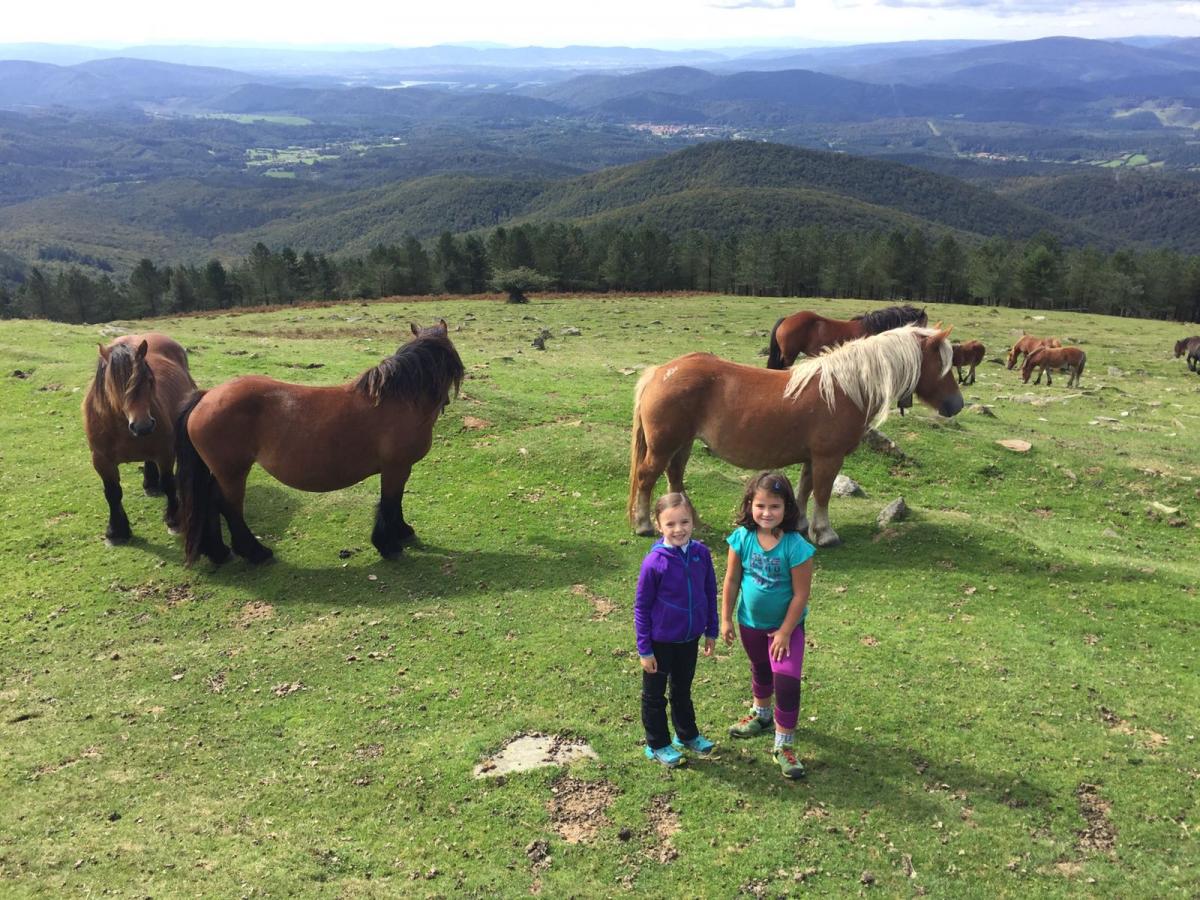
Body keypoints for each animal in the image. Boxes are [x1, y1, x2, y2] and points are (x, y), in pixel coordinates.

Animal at [81, 331, 196, 542]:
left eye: (150, 380)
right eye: (114, 385)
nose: (143, 426)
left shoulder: (165, 452)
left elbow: (168, 483)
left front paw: (174, 520)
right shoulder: (101, 461)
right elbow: (112, 493)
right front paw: (116, 531)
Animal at [174, 321, 463, 564]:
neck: (399, 399)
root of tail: (206, 396)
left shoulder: (400, 469)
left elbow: (396, 500)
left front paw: (402, 531)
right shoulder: (396, 467)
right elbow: (390, 502)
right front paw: (388, 545)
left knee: (210, 503)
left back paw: (219, 552)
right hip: (233, 472)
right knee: (227, 506)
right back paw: (255, 552)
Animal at [633, 326, 960, 547]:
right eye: (943, 367)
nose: (956, 404)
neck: (843, 389)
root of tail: (660, 372)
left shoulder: (813, 457)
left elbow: (805, 489)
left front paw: (802, 524)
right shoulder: (829, 457)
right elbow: (823, 493)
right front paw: (825, 533)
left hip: (682, 444)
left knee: (675, 477)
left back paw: (694, 522)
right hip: (664, 446)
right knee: (647, 477)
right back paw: (643, 524)